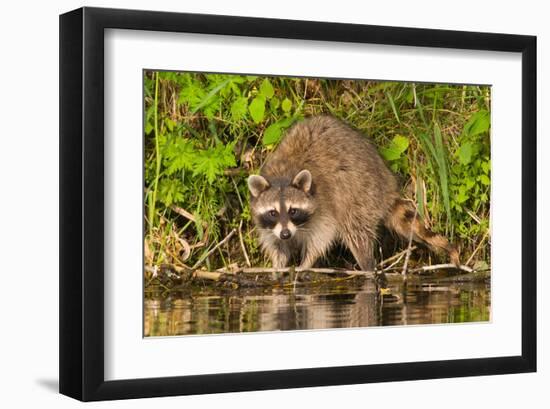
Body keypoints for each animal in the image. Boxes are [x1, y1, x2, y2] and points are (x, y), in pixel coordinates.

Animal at [248, 115, 460, 270]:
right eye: (273, 212)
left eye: (293, 211)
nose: (285, 234)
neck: (283, 175)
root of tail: (387, 183)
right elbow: (274, 243)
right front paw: (278, 264)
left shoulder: (324, 203)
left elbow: (323, 235)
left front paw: (307, 262)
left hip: (360, 193)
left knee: (356, 230)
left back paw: (367, 266)